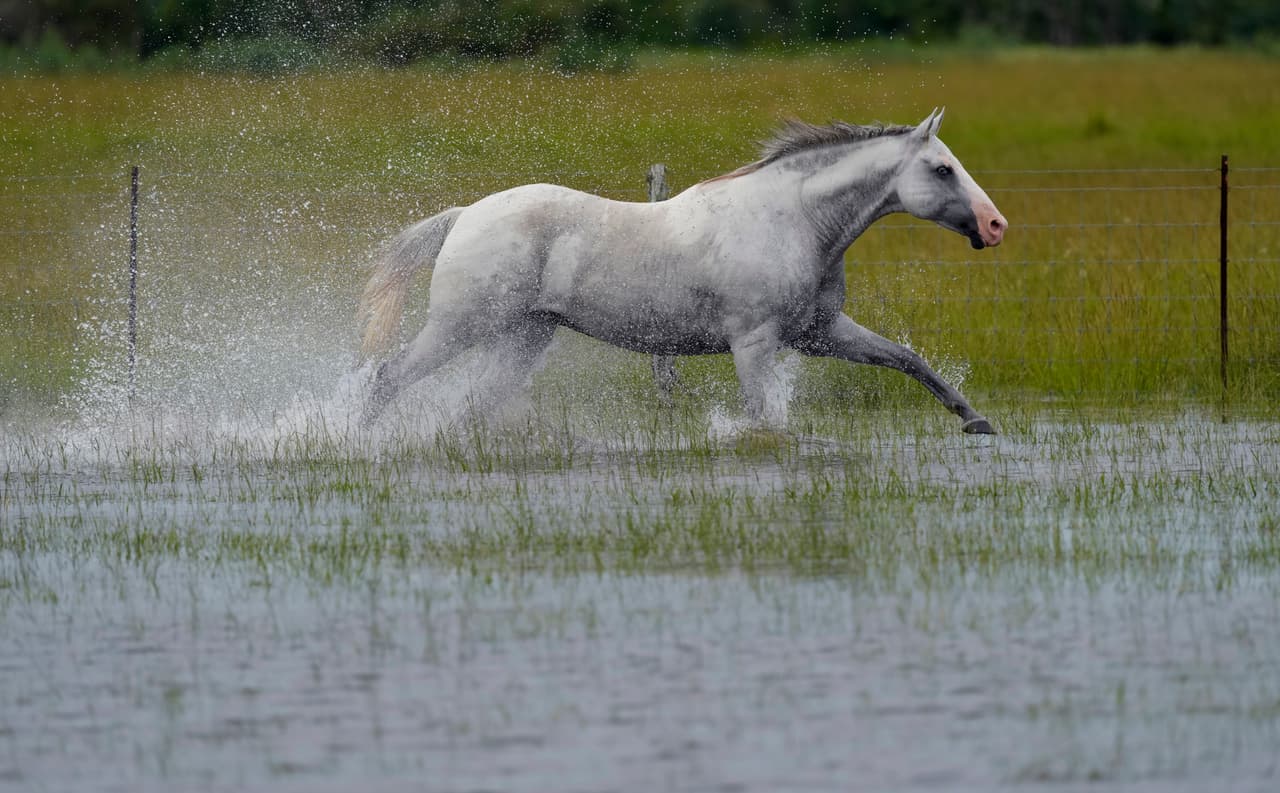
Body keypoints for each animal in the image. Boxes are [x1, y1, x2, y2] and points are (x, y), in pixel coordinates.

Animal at [358, 108, 1008, 433]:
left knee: (470, 404)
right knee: (386, 377)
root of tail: (466, 215)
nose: (996, 225)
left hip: (524, 336)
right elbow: (765, 417)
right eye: (943, 169)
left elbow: (907, 358)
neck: (795, 220)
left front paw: (975, 420)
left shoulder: (819, 333)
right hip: (460, 326)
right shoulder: (754, 342)